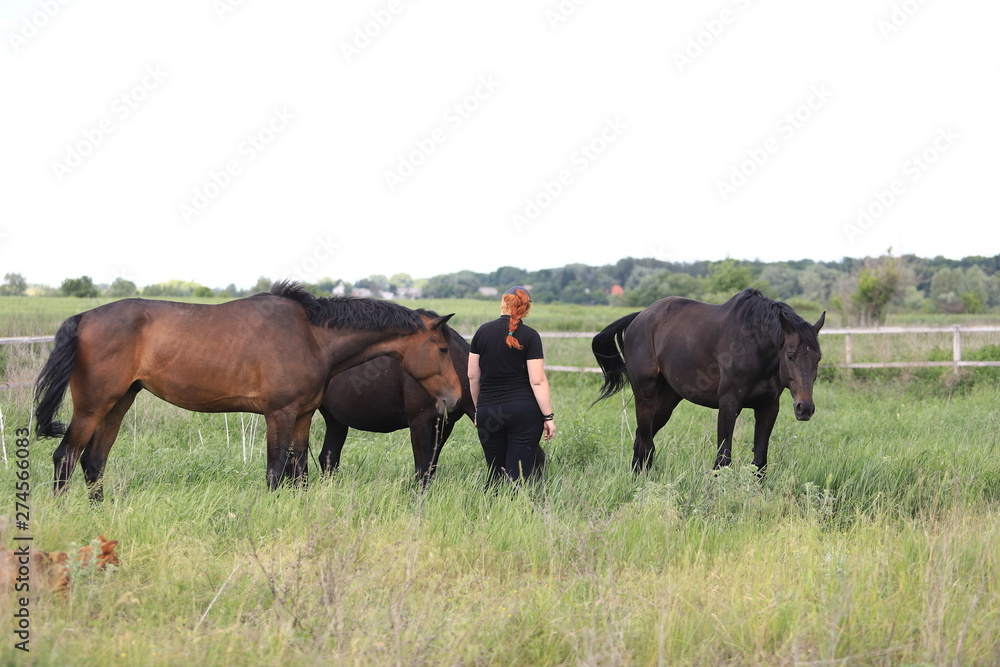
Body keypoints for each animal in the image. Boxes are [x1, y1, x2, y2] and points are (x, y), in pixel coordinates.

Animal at [316, 320, 476, 485]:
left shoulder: (445, 424)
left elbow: (431, 465)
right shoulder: (419, 420)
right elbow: (422, 467)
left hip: (335, 421)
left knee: (329, 457)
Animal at [592, 288, 824, 475]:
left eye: (818, 358)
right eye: (790, 355)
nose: (805, 408)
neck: (753, 347)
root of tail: (640, 317)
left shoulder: (768, 407)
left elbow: (759, 462)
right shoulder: (729, 405)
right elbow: (723, 460)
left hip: (667, 400)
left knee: (641, 439)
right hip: (644, 395)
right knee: (646, 444)